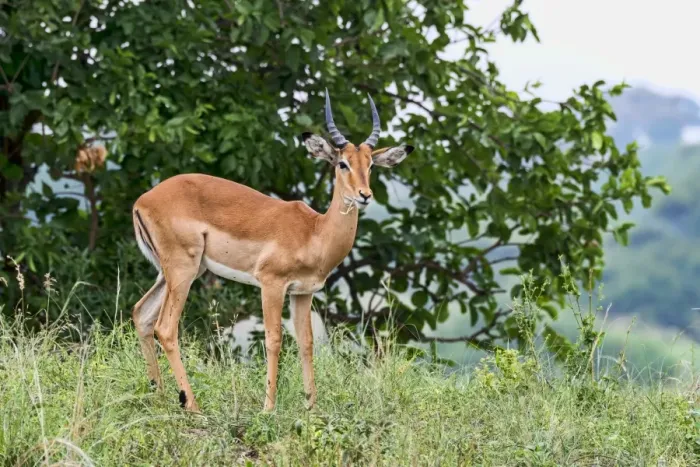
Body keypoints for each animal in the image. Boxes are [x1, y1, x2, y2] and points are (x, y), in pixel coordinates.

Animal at [130, 90, 414, 412]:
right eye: (342, 163)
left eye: (371, 165)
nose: (364, 195)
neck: (314, 231)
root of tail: (142, 201)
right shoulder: (271, 284)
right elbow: (274, 339)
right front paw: (268, 408)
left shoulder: (302, 293)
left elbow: (306, 342)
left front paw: (311, 408)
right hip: (182, 270)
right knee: (166, 328)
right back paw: (193, 406)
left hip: (174, 272)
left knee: (142, 314)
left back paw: (160, 397)